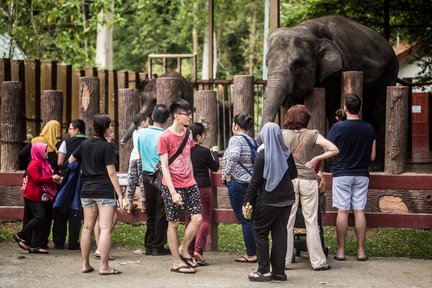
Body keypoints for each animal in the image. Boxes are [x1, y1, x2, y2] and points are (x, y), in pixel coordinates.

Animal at [260, 15, 398, 169]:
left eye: (298, 65)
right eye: (267, 64)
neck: (310, 30)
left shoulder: (336, 73)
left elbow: (333, 107)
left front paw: (331, 166)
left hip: (388, 75)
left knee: (378, 114)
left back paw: (375, 166)